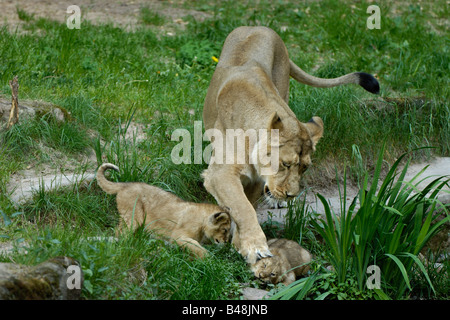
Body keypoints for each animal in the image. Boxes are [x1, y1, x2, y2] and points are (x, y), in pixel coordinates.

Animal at [202, 26, 378, 262]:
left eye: (304, 168)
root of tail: (259, 26)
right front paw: (255, 246)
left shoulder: (258, 178)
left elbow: (248, 204)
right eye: (285, 164)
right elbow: (243, 207)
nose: (292, 195)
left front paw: (241, 244)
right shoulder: (219, 174)